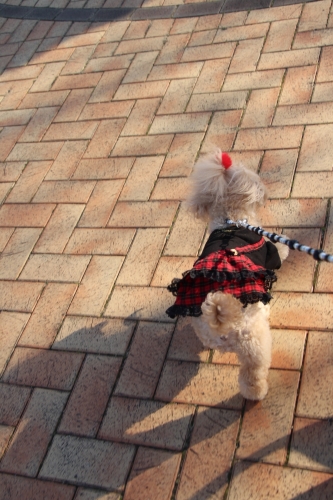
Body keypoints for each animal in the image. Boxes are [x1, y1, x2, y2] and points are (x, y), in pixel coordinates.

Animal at [166, 149, 288, 402]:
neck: (230, 220)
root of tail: (220, 321)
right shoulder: (270, 252)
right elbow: (281, 251)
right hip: (254, 344)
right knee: (252, 376)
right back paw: (257, 394)